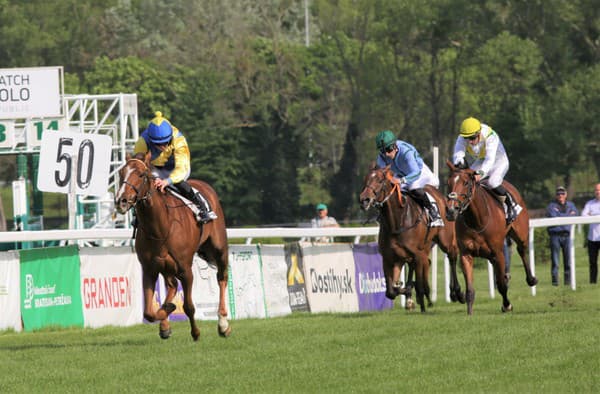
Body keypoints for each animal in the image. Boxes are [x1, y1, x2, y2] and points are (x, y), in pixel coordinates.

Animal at [115, 152, 232, 340]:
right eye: (120, 173)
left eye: (141, 174)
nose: (121, 200)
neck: (160, 227)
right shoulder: (149, 269)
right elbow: (149, 312)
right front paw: (166, 312)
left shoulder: (186, 269)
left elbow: (189, 306)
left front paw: (195, 332)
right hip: (165, 266)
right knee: (172, 285)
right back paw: (165, 320)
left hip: (219, 248)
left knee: (222, 277)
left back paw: (223, 324)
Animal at [360, 163, 464, 310]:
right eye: (366, 179)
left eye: (380, 181)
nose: (364, 199)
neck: (397, 221)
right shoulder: (388, 257)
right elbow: (391, 291)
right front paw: (407, 292)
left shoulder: (417, 254)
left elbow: (417, 285)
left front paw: (419, 297)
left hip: (446, 240)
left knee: (452, 256)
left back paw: (456, 293)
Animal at [446, 159, 540, 316]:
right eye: (448, 182)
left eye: (465, 183)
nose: (451, 210)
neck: (477, 221)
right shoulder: (466, 254)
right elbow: (470, 289)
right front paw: (469, 312)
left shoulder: (498, 252)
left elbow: (501, 285)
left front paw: (507, 305)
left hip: (520, 233)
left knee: (522, 250)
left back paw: (531, 279)